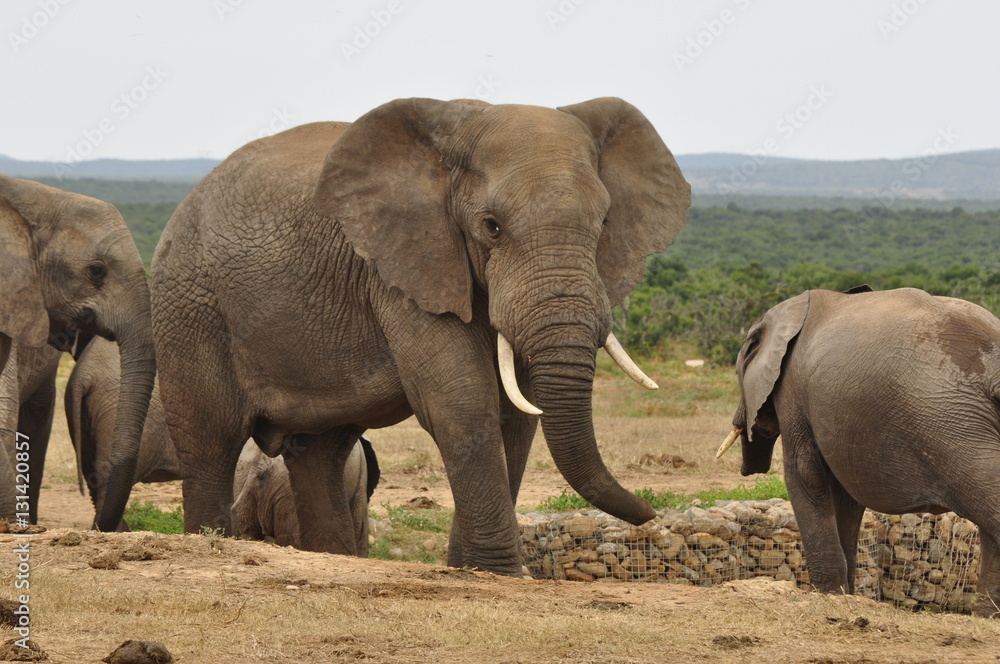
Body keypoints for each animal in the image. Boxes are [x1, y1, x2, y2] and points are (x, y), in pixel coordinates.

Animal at [150, 94, 688, 576]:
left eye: (604, 223)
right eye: (491, 226)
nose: (651, 515)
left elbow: (517, 415)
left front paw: (474, 570)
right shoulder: (401, 268)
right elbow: (462, 401)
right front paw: (501, 574)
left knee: (320, 453)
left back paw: (334, 557)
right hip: (190, 305)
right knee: (211, 442)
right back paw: (210, 542)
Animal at [720, 286, 1000, 616]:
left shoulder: (791, 389)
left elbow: (805, 473)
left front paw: (828, 595)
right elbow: (846, 497)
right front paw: (846, 595)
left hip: (948, 421)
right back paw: (986, 616)